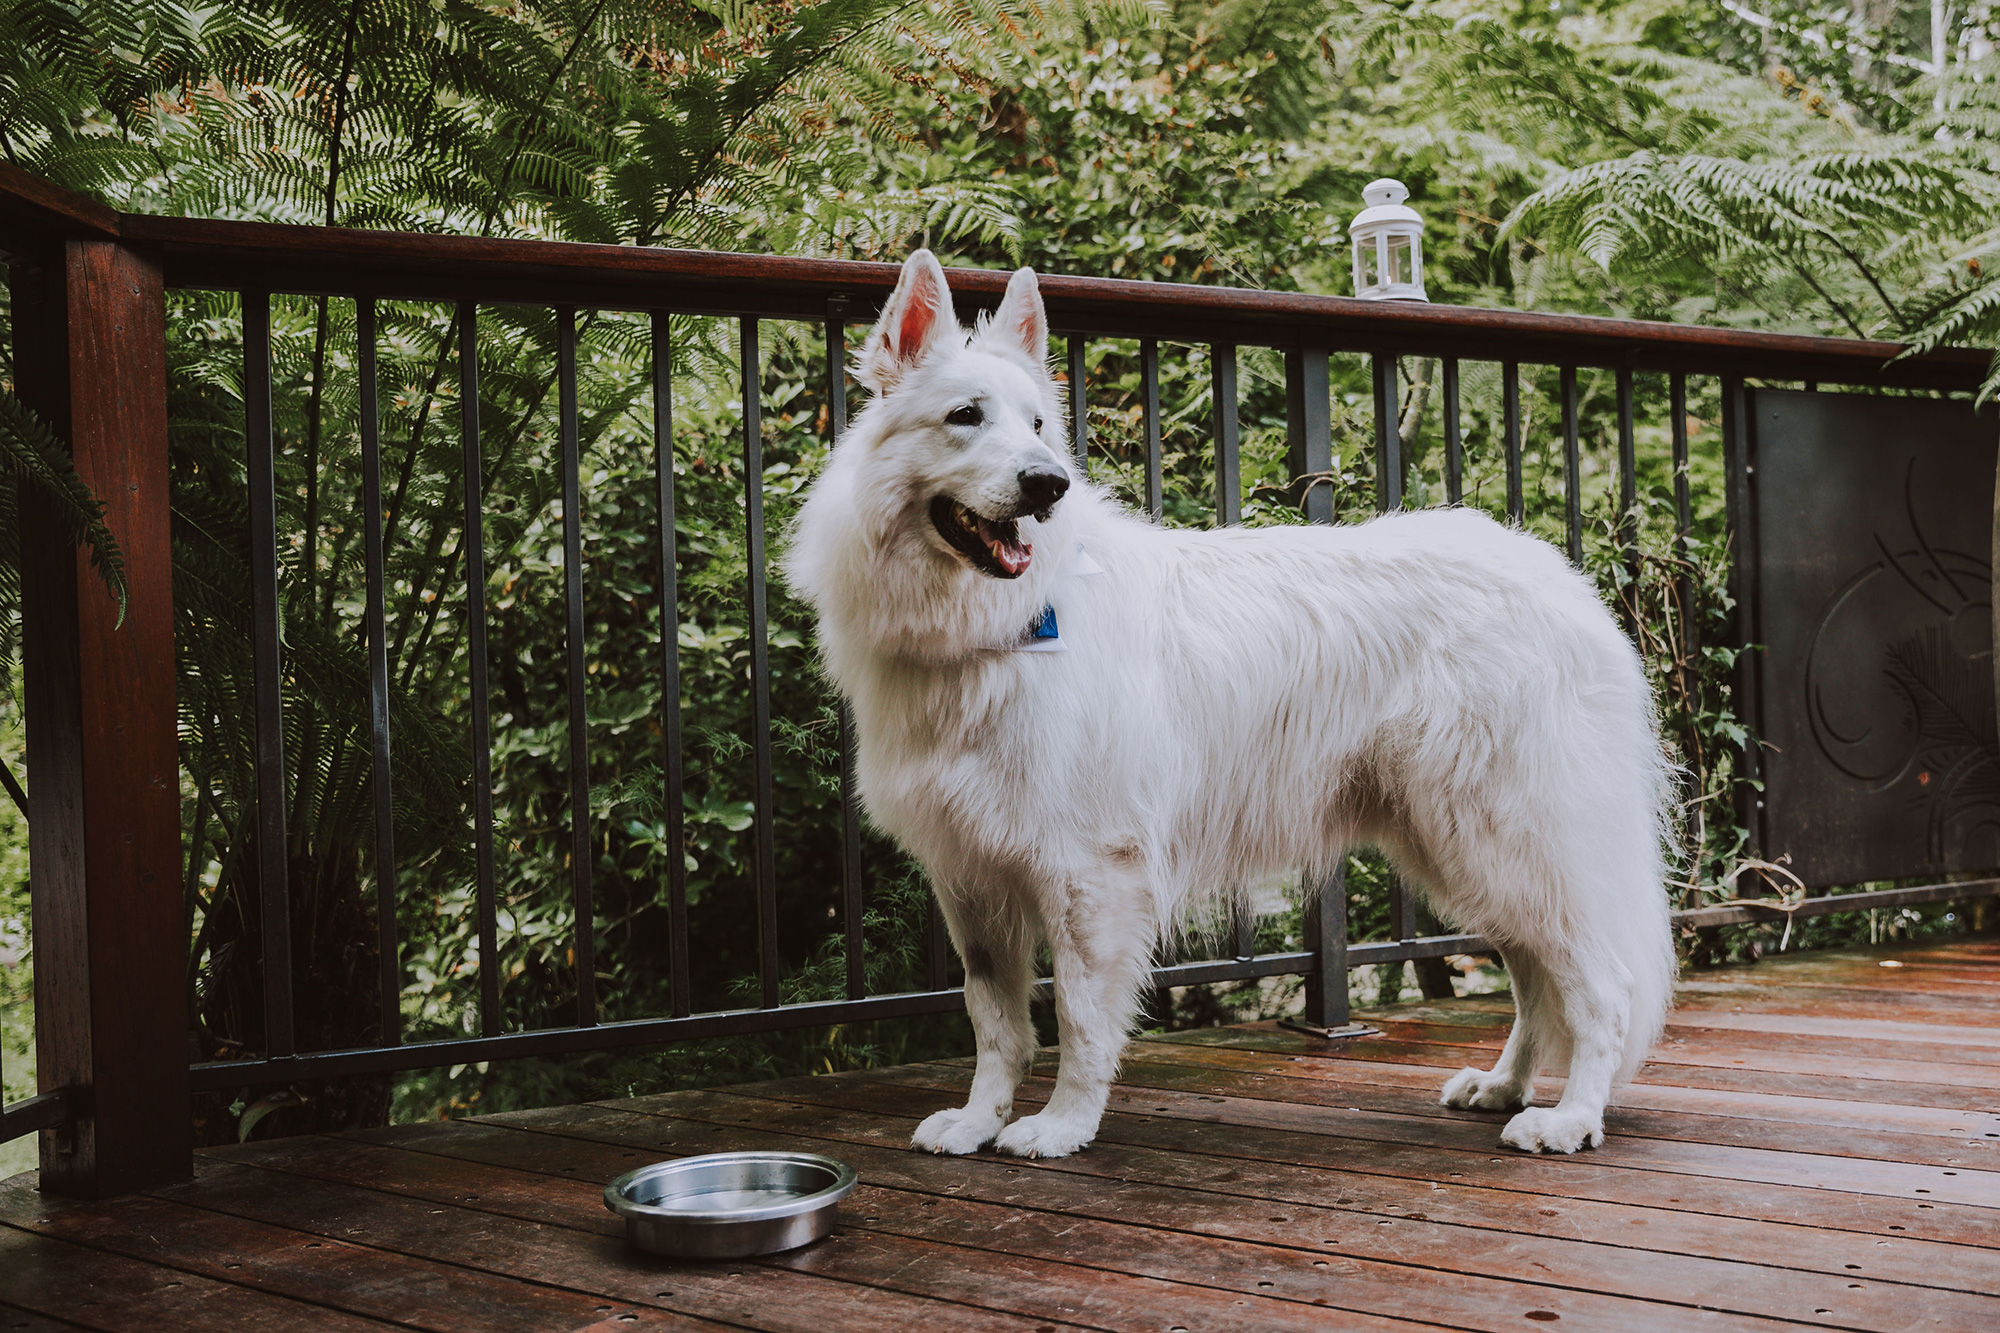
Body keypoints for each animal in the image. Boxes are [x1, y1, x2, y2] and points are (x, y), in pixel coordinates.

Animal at [780, 249, 1672, 1152]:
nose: (1048, 485)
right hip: (1467, 849)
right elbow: (994, 1019)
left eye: (1035, 426)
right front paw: (977, 1120)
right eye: (966, 416)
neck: (1004, 624)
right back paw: (1505, 1086)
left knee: (1600, 984)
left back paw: (1570, 1116)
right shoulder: (972, 878)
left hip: (1505, 839)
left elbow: (1080, 1019)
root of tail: (1564, 582)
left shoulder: (1087, 875)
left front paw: (1062, 1125)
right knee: (1535, 980)